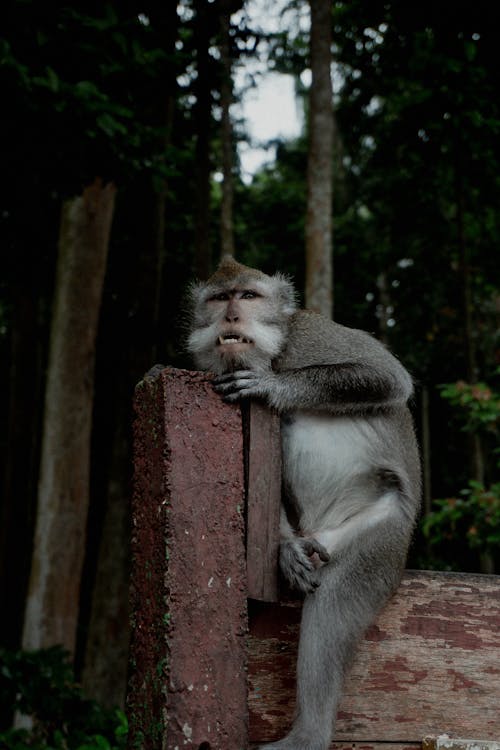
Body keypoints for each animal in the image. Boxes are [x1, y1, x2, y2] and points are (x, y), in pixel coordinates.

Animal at [186, 256, 420, 748]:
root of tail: (323, 528)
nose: (231, 316)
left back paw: (308, 735)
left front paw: (273, 385)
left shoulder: (310, 334)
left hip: (383, 532)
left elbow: (388, 377)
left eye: (248, 296)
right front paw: (281, 547)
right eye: (220, 298)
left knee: (335, 598)